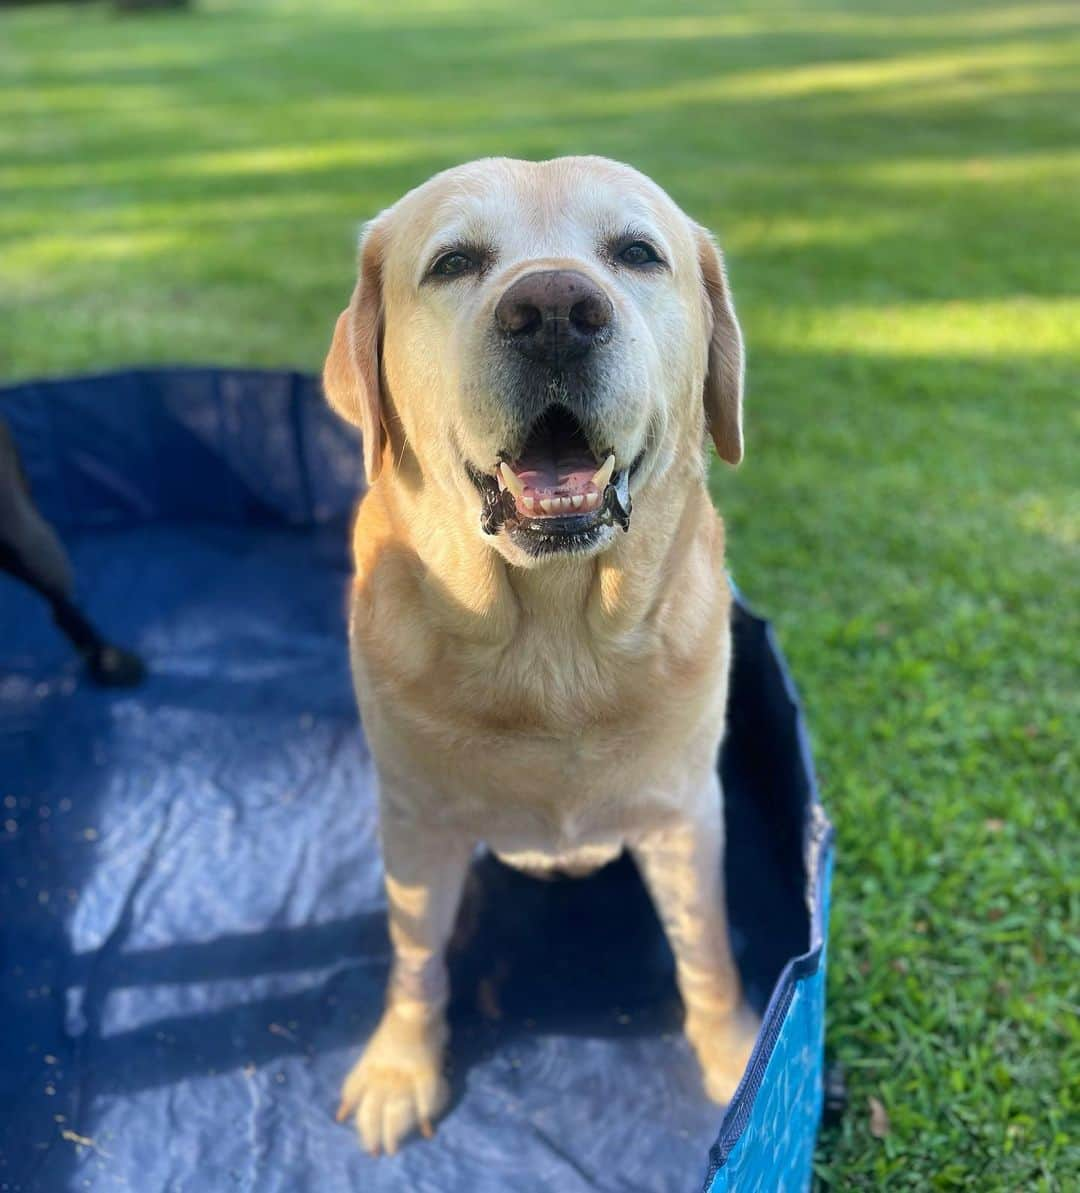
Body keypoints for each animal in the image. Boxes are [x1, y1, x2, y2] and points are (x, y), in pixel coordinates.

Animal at [324, 158, 754, 1154]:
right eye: (453, 262)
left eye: (637, 253)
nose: (555, 308)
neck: (555, 642)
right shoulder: (417, 821)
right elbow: (414, 954)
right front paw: (403, 1062)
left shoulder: (685, 814)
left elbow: (708, 947)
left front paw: (739, 1054)